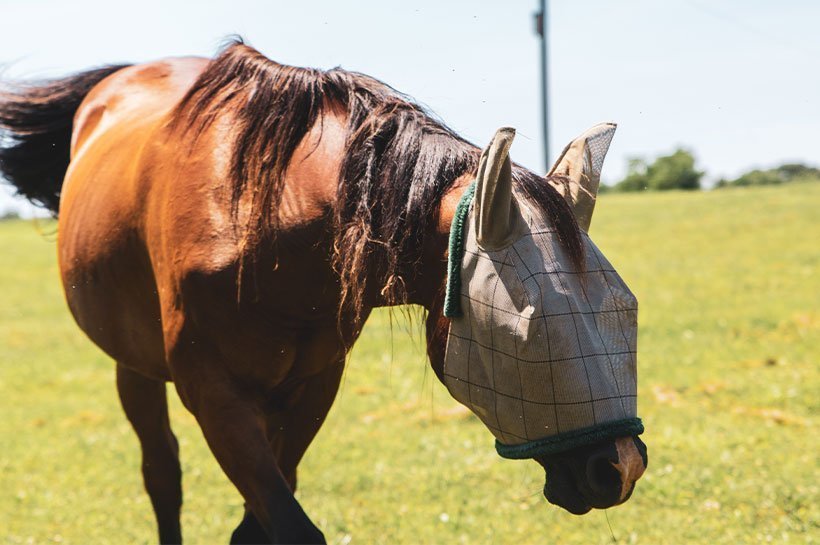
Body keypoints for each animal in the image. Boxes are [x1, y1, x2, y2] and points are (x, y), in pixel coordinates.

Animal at [1, 41, 648, 544]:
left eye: (625, 309)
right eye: (528, 326)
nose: (621, 467)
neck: (264, 221)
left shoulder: (313, 385)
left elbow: (258, 523)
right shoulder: (213, 393)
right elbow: (286, 524)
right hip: (133, 367)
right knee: (161, 475)